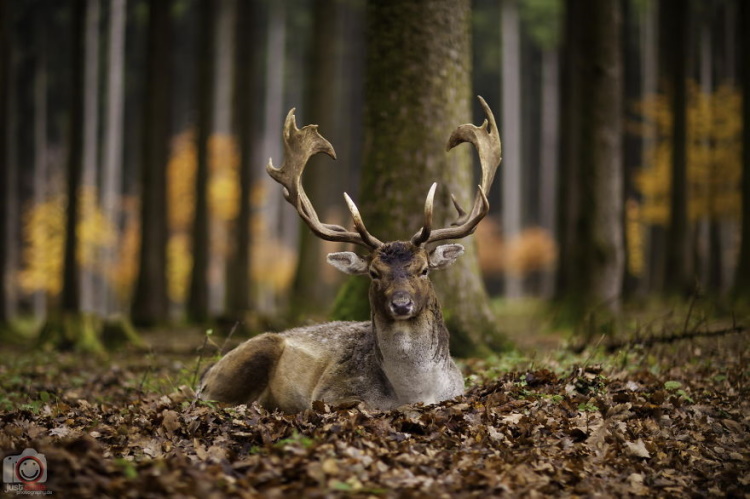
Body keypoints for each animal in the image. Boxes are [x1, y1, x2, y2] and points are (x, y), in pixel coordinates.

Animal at [201, 95, 506, 412]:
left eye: (423, 269)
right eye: (374, 273)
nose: (401, 304)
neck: (414, 393)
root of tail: (205, 374)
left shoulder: (457, 391)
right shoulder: (329, 394)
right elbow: (360, 405)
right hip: (255, 351)